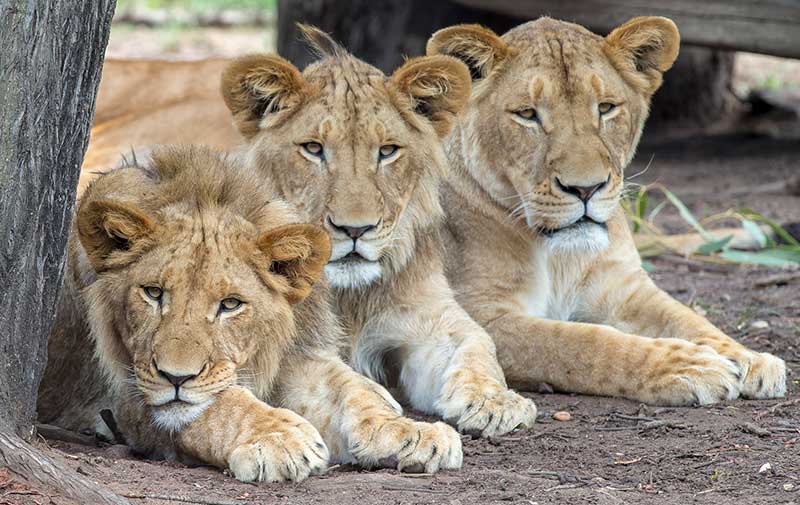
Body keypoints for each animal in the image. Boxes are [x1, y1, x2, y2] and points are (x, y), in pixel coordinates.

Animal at [37, 145, 462, 480]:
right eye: (153, 293)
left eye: (230, 304)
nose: (176, 377)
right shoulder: (129, 392)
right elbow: (221, 406)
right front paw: (281, 439)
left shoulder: (298, 356)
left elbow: (354, 390)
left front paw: (410, 431)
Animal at [424, 14, 788, 406]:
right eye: (527, 114)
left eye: (606, 107)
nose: (586, 188)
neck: (561, 257)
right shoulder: (477, 314)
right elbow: (581, 342)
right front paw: (689, 365)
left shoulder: (625, 288)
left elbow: (687, 317)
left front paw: (748, 357)